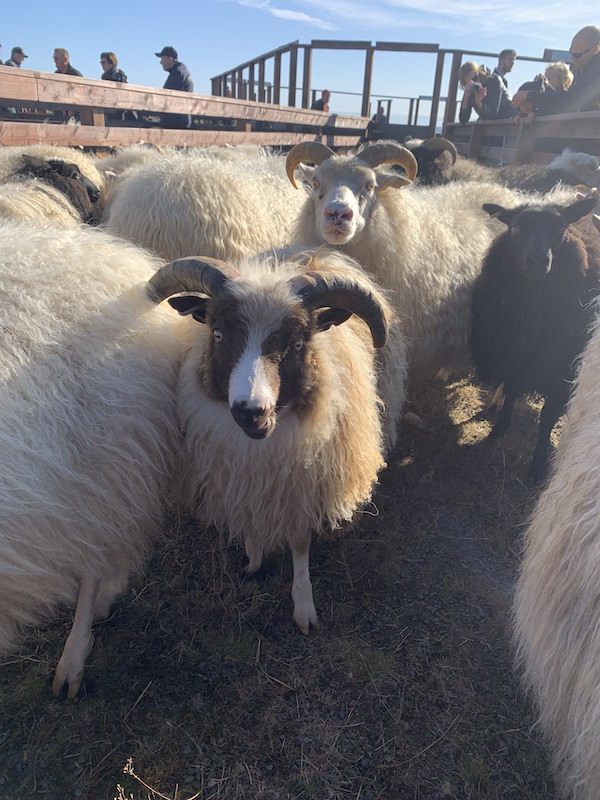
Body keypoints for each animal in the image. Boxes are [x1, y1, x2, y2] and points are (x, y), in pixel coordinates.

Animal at [474, 195, 600, 482]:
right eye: (515, 230)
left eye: (561, 230)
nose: (538, 261)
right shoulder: (514, 355)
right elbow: (511, 390)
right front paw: (498, 430)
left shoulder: (561, 372)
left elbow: (548, 417)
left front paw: (538, 465)